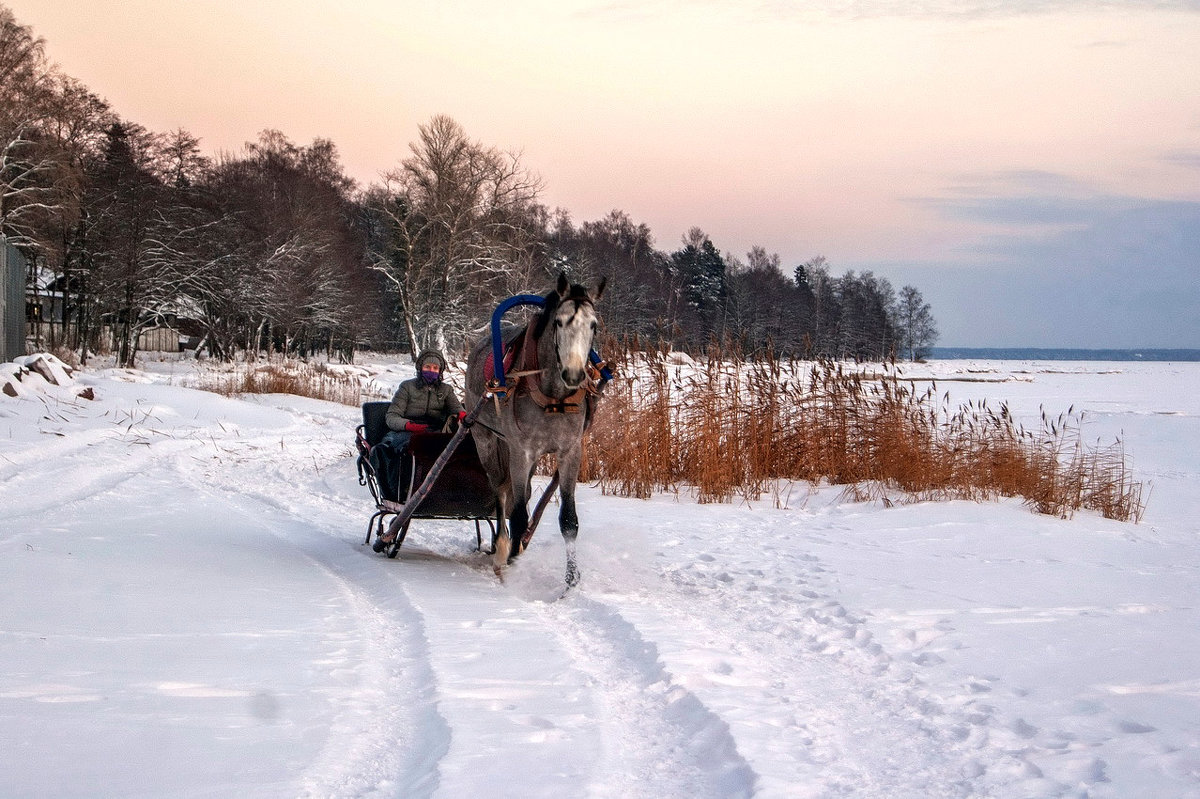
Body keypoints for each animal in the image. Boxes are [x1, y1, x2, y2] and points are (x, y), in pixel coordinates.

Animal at [463, 271, 604, 583]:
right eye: (559, 322)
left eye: (594, 325)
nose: (574, 374)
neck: (554, 399)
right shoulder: (520, 451)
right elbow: (517, 515)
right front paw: (512, 563)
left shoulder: (570, 452)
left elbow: (569, 520)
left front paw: (571, 580)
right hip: (486, 441)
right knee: (501, 492)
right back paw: (502, 547)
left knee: (523, 495)